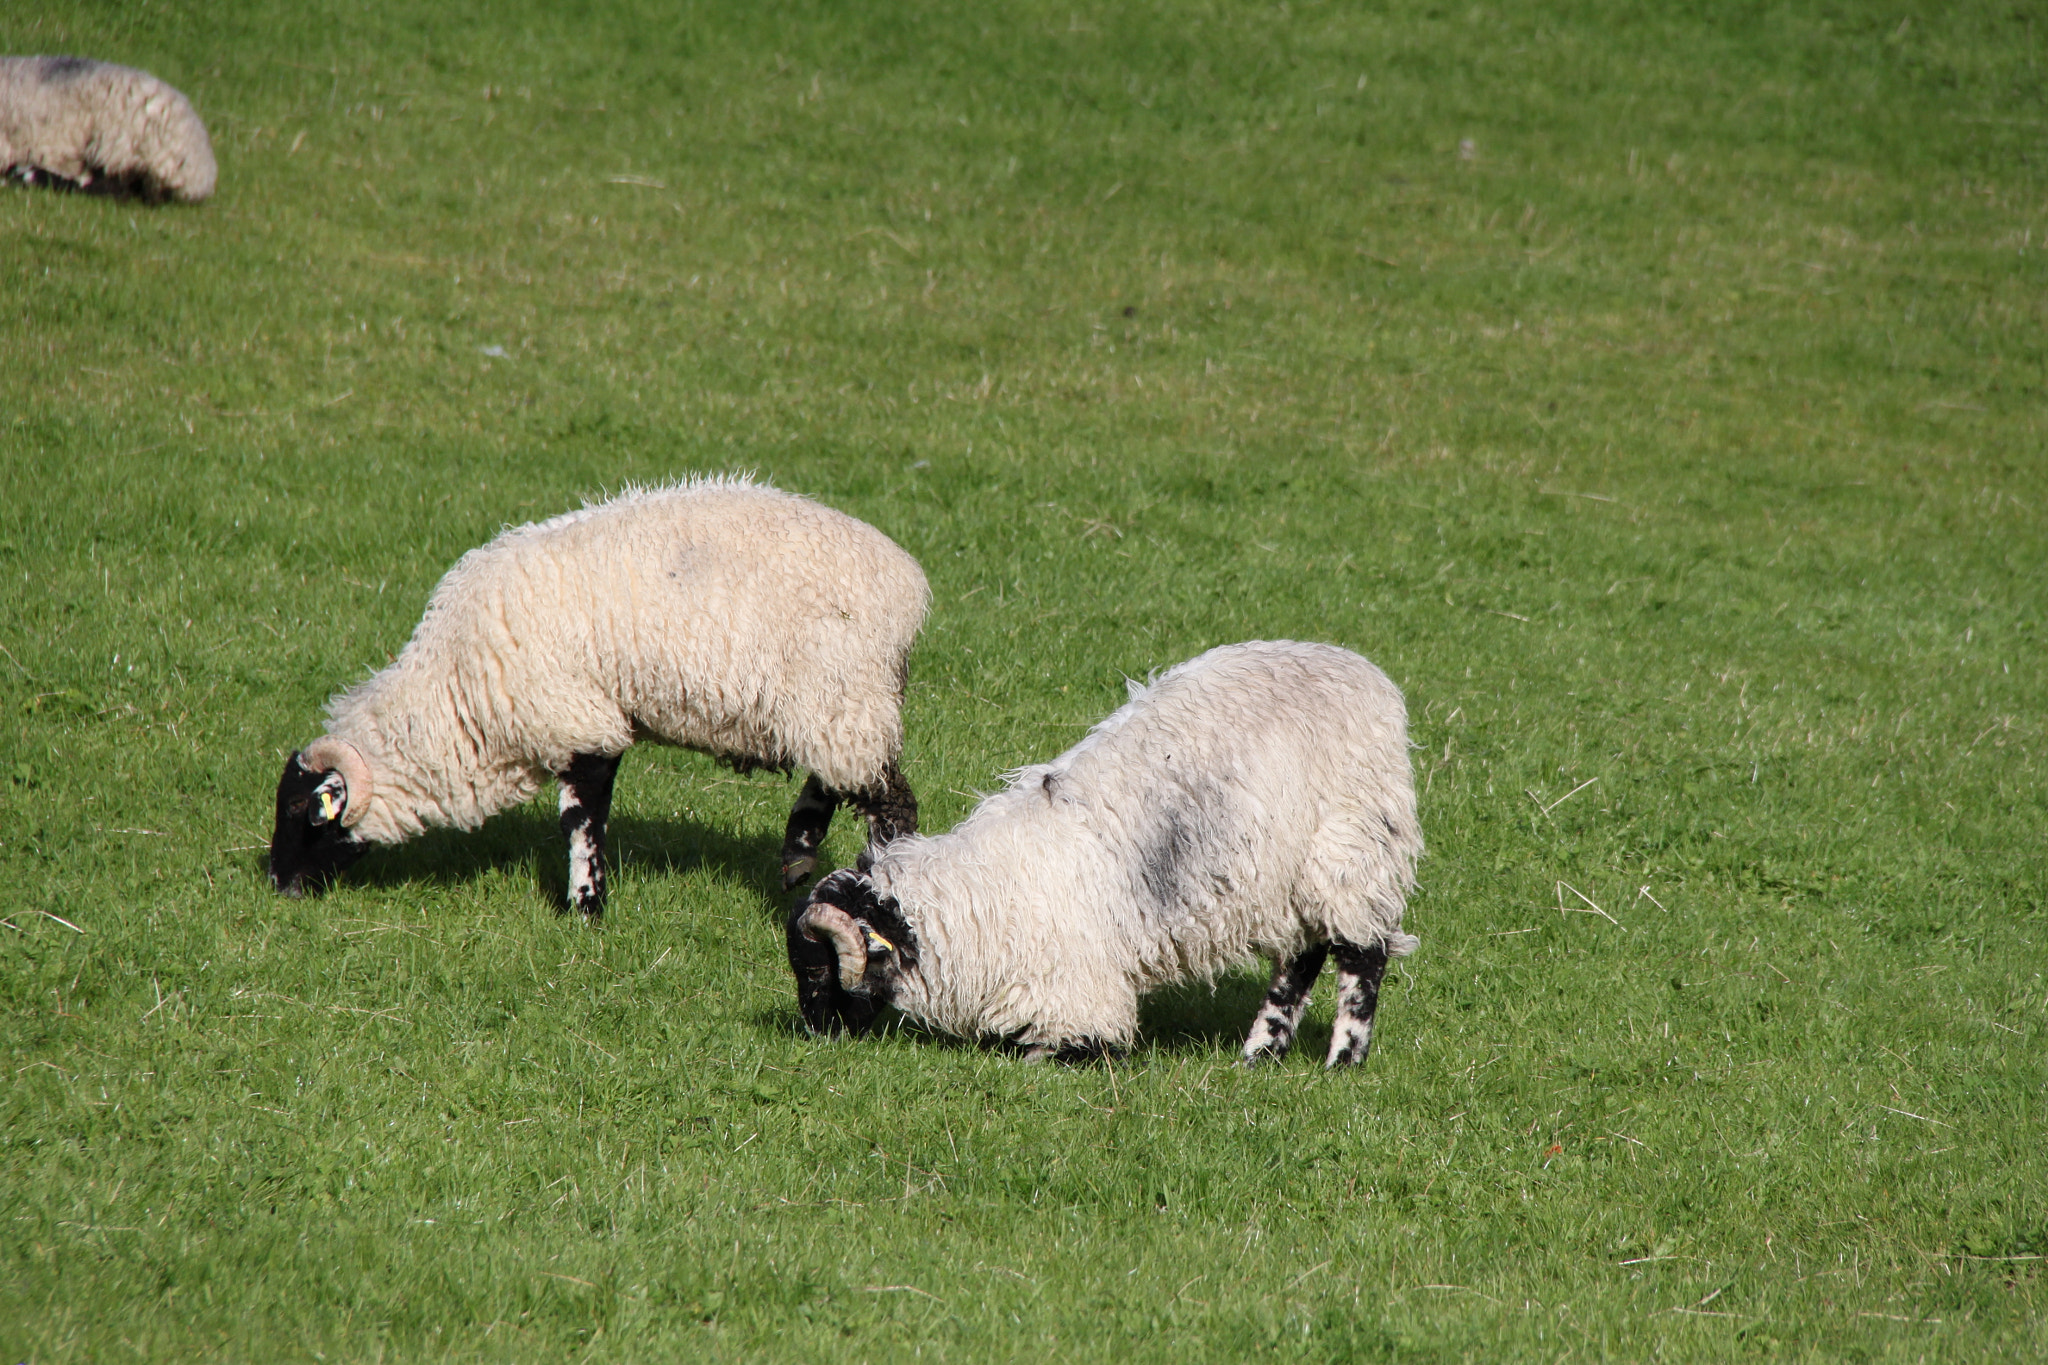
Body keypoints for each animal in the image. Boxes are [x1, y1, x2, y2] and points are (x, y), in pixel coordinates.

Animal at [269, 476, 929, 918]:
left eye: (302, 811)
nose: (277, 886)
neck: (452, 698)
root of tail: (907, 583)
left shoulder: (577, 721)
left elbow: (581, 819)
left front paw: (585, 906)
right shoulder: (585, 721)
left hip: (842, 690)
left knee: (889, 804)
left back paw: (875, 880)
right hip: (838, 702)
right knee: (837, 777)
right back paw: (799, 851)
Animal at [788, 639, 1423, 1066]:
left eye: (822, 969)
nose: (817, 1037)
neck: (973, 909)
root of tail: (1365, 673)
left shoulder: (1075, 995)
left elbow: (1054, 1051)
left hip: (1352, 845)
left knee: (1361, 954)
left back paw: (1341, 1060)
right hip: (1295, 875)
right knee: (1302, 957)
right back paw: (1259, 1054)